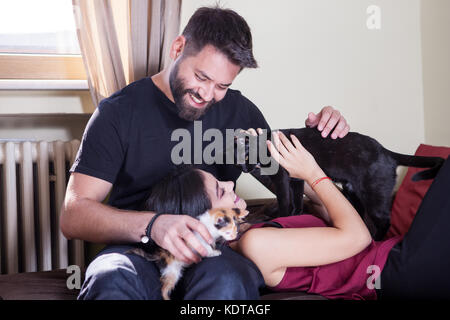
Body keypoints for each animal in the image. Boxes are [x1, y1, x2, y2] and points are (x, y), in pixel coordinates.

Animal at [234, 127, 444, 240]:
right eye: (237, 160)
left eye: (247, 156)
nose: (245, 168)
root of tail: (385, 151)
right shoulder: (297, 179)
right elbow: (297, 202)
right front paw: (295, 216)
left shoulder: (282, 178)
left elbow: (285, 201)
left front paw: (282, 218)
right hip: (352, 192)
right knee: (360, 215)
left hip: (374, 196)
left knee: (384, 220)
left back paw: (375, 240)